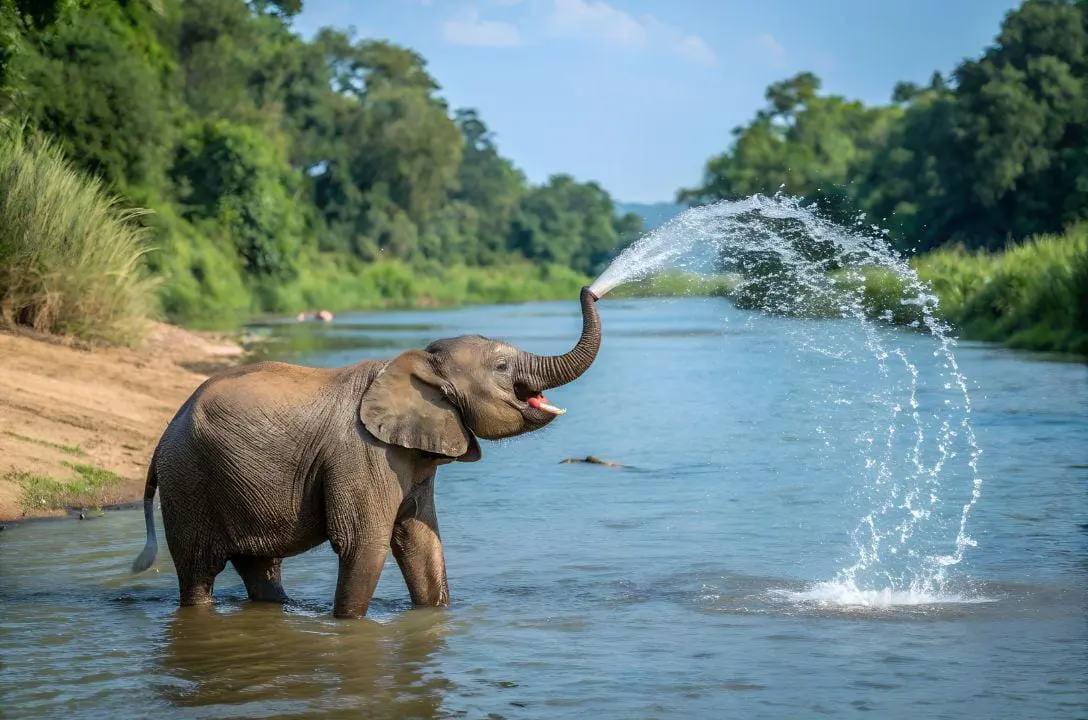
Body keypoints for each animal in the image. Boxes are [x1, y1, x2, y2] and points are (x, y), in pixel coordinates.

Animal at [132, 287, 601, 619]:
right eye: (502, 368)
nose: (590, 290)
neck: (416, 362)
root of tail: (164, 435)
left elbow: (422, 543)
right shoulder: (364, 454)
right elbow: (364, 545)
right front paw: (348, 627)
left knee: (260, 566)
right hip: (189, 480)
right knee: (198, 572)